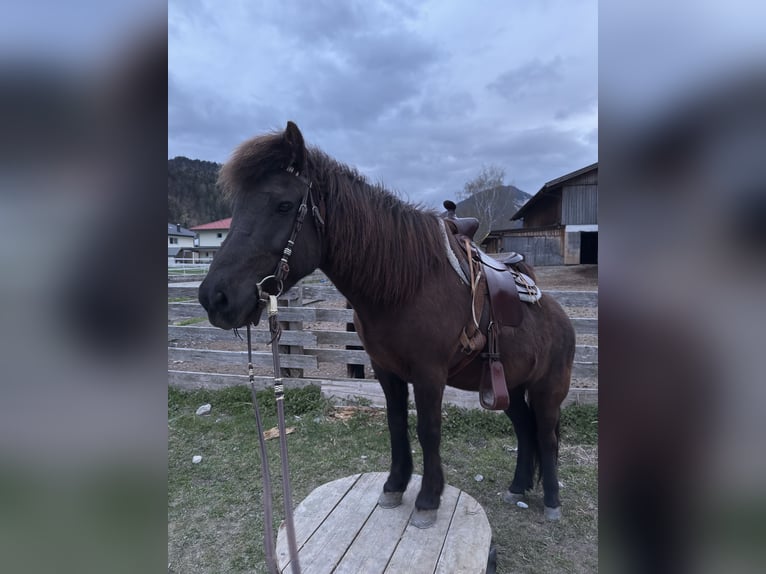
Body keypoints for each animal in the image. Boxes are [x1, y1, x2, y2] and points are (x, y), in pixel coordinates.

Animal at [199, 121, 575, 526]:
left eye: (283, 204)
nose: (214, 297)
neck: (407, 285)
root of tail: (563, 320)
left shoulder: (429, 375)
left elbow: (428, 430)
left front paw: (428, 499)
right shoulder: (386, 371)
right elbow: (396, 425)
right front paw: (395, 485)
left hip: (548, 390)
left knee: (547, 436)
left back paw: (552, 500)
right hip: (511, 388)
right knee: (525, 430)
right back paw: (518, 487)